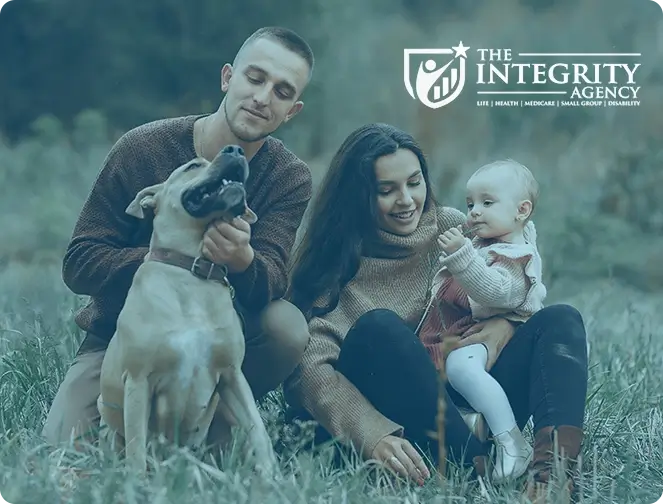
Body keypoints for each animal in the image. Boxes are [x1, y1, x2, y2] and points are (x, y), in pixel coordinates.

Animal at [96, 145, 278, 476]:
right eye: (193, 165)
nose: (235, 149)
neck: (193, 273)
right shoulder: (138, 380)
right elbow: (136, 447)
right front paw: (134, 483)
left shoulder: (232, 376)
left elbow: (258, 429)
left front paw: (273, 477)